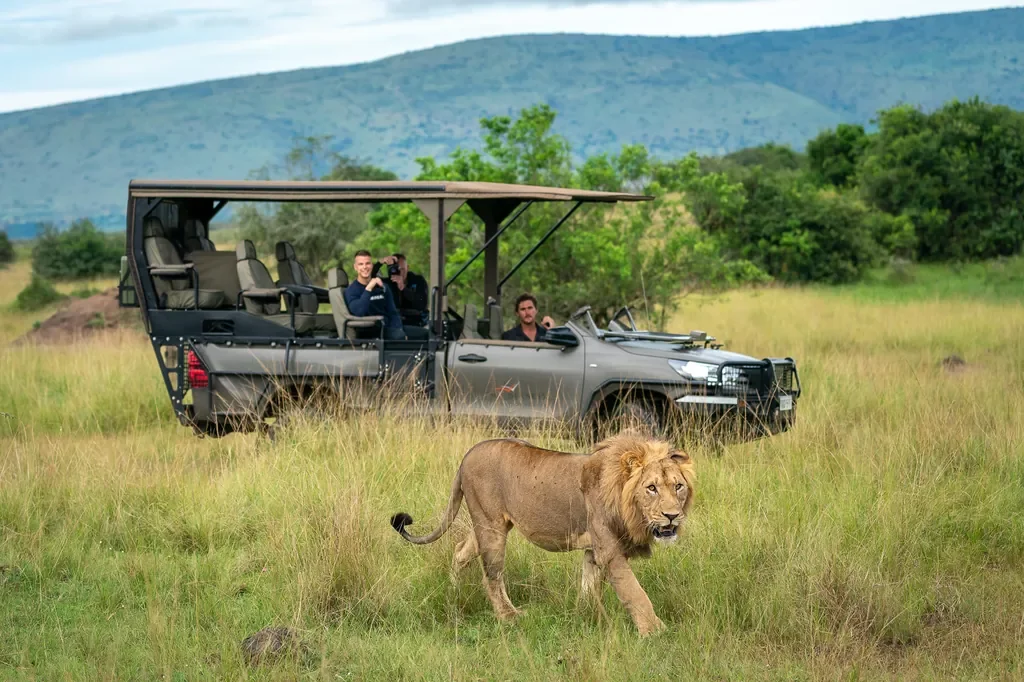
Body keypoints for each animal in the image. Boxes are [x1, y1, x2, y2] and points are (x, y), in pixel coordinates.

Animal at [390, 431, 695, 636]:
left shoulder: (593, 550)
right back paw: (509, 617)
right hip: (491, 527)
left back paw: (454, 590)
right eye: (651, 488)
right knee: (492, 575)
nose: (672, 515)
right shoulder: (609, 550)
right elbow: (634, 592)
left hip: (488, 525)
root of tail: (469, 453)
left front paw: (586, 617)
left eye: (678, 486)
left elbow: (589, 587)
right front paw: (654, 631)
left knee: (460, 551)